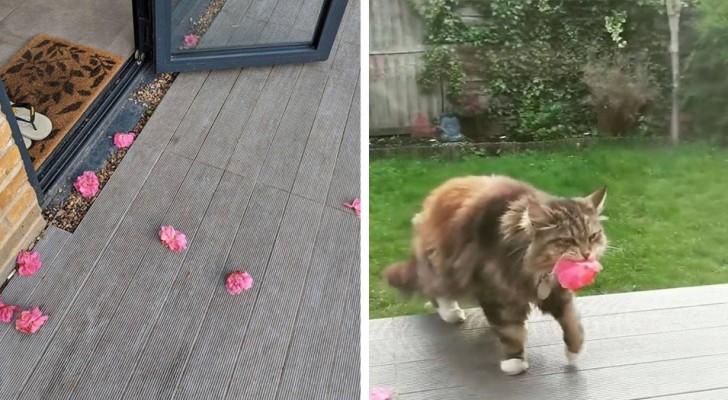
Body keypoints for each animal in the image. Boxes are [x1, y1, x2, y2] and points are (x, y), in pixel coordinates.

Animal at [386, 174, 608, 376]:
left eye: (592, 236)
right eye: (567, 240)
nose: (587, 254)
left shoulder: (557, 293)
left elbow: (572, 322)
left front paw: (573, 351)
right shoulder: (495, 292)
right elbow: (510, 331)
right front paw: (514, 361)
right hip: (445, 268)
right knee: (435, 289)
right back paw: (451, 312)